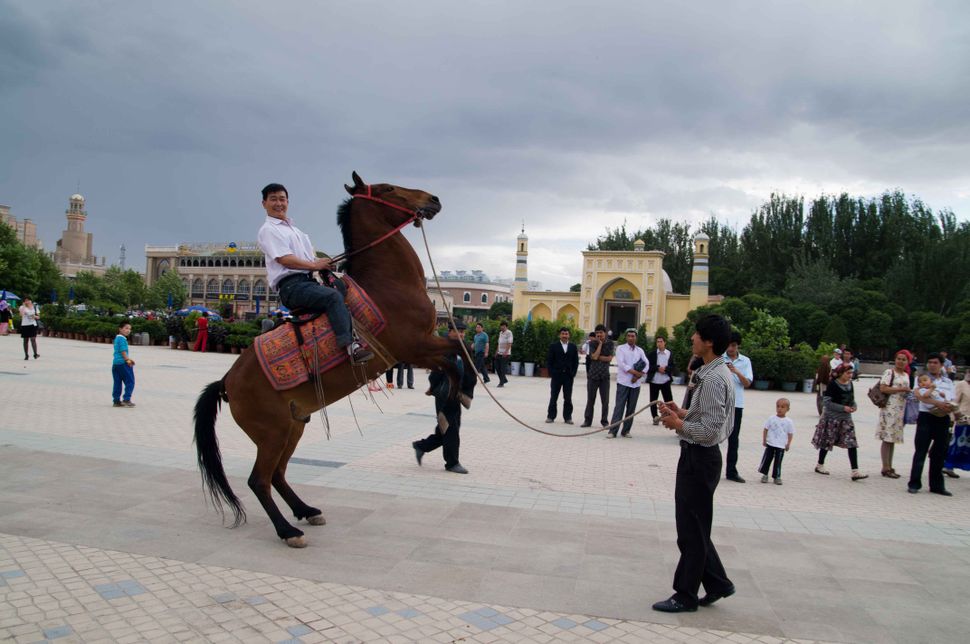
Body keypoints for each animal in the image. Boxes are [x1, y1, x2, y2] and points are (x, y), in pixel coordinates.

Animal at [194, 172, 462, 548]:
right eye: (388, 189)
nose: (433, 199)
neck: (388, 285)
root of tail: (226, 383)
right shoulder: (413, 347)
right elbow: (456, 355)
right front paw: (453, 405)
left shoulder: (420, 349)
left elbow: (454, 355)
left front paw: (447, 405)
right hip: (272, 432)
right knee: (259, 480)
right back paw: (288, 531)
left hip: (292, 427)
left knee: (278, 475)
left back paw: (306, 511)